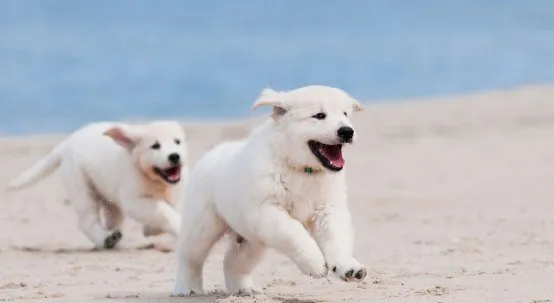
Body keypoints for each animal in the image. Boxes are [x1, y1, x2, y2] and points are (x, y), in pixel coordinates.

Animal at [7, 120, 188, 249]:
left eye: (177, 142)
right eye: (155, 146)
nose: (174, 156)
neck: (155, 179)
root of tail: (67, 143)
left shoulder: (179, 191)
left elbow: (173, 208)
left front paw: (150, 229)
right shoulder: (134, 200)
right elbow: (163, 211)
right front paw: (175, 227)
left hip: (108, 194)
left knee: (112, 217)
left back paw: (113, 238)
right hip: (80, 186)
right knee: (87, 220)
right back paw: (105, 239)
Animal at [172, 85, 362, 296]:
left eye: (345, 114)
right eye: (319, 115)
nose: (347, 131)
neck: (301, 170)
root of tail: (211, 154)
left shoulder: (328, 208)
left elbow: (336, 236)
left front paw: (348, 266)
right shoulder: (266, 209)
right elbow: (293, 232)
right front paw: (315, 263)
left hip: (252, 239)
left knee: (233, 261)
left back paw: (243, 289)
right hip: (203, 225)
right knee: (190, 257)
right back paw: (187, 287)